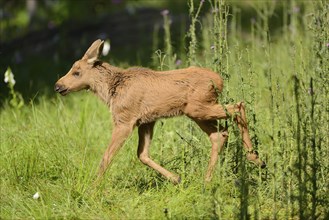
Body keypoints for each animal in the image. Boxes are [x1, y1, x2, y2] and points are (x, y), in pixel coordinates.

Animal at [53, 39, 264, 184]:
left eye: (77, 72)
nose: (58, 86)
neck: (111, 90)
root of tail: (219, 80)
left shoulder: (124, 120)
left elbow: (106, 157)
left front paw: (93, 189)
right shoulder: (146, 121)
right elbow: (142, 154)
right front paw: (176, 178)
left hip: (199, 108)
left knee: (238, 106)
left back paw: (254, 158)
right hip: (198, 112)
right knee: (220, 134)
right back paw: (207, 180)